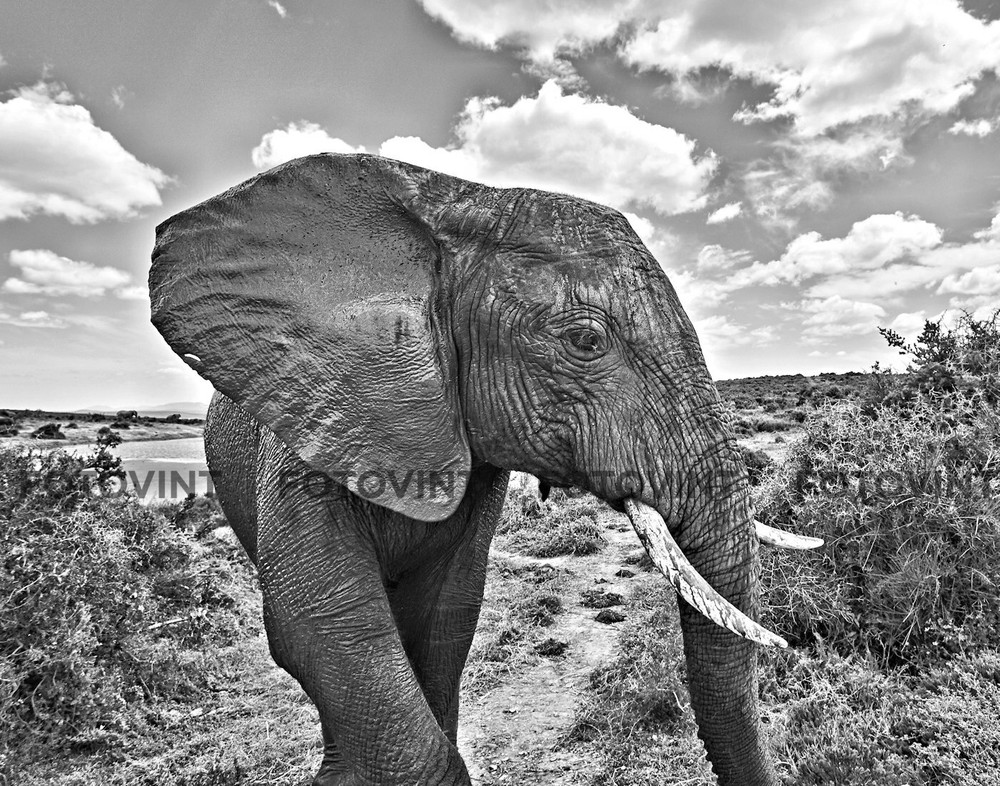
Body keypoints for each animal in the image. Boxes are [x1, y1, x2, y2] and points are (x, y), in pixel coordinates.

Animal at [148, 153, 818, 786]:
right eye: (585, 341)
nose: (790, 645)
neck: (460, 202)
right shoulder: (313, 423)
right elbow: (320, 625)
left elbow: (447, 613)